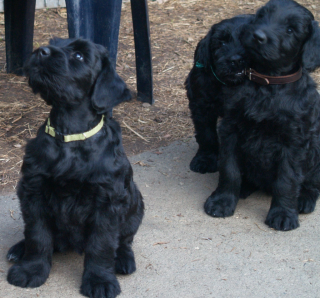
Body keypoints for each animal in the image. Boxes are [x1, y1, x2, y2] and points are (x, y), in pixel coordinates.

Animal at [6, 37, 144, 298]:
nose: (41, 51)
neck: (70, 135)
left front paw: (100, 280)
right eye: (54, 42)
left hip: (135, 204)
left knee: (125, 240)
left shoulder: (107, 201)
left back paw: (123, 259)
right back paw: (18, 249)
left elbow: (102, 244)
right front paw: (31, 270)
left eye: (79, 56)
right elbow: (38, 235)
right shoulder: (33, 190)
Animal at [204, 0, 320, 230]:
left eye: (291, 29)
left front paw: (283, 213)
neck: (267, 85)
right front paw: (223, 200)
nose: (258, 36)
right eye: (262, 16)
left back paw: (304, 199)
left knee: (313, 182)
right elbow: (229, 170)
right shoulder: (231, 129)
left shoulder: (293, 142)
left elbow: (287, 181)